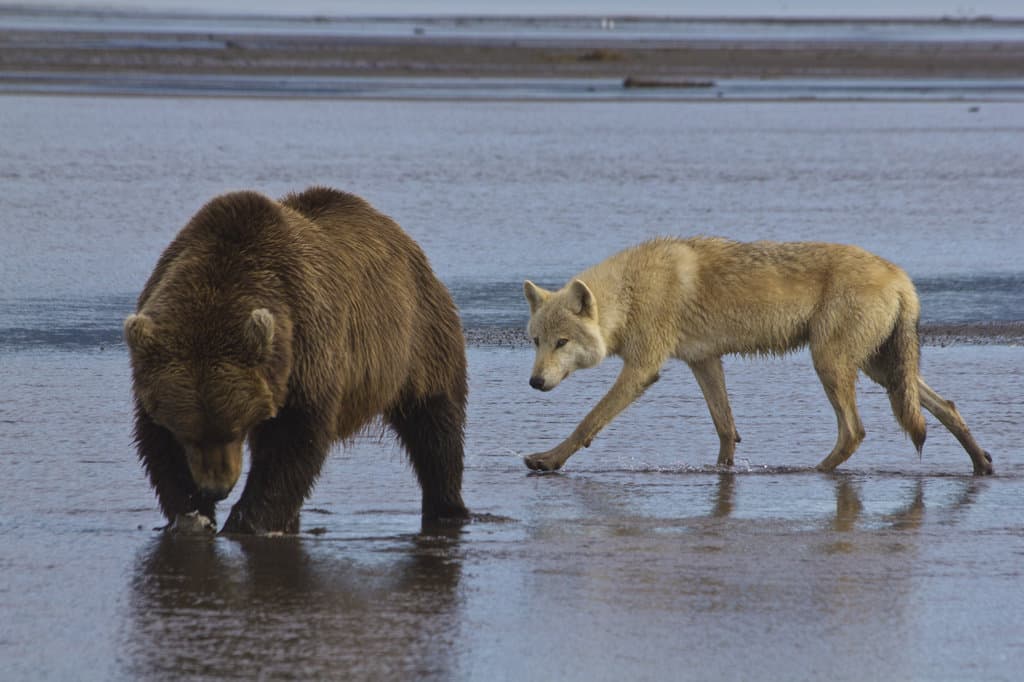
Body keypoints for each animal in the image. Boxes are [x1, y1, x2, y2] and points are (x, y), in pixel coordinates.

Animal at [124, 186, 470, 534]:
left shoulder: (305, 348)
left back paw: (447, 505)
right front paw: (192, 515)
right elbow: (159, 445)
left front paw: (248, 521)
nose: (216, 489)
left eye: (233, 430)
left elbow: (292, 443)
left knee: (435, 424)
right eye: (188, 434)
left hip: (418, 339)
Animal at [523, 237, 992, 475]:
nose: (534, 383)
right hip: (881, 370)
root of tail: (902, 278)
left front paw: (547, 460)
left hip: (832, 364)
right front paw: (722, 472)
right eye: (536, 342)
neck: (631, 293)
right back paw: (982, 463)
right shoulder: (704, 361)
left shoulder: (641, 370)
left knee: (854, 432)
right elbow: (725, 428)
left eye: (561, 343)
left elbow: (588, 421)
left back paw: (812, 471)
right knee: (946, 406)